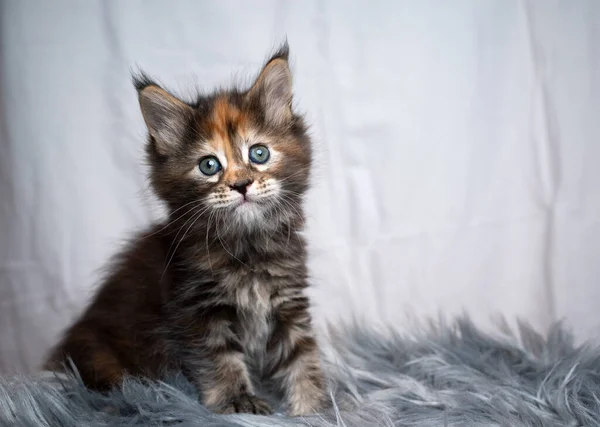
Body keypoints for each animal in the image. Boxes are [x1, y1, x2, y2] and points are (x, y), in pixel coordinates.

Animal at [43, 45, 328, 416]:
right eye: (209, 165)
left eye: (259, 153)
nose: (241, 185)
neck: (245, 245)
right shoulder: (196, 309)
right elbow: (220, 360)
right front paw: (238, 400)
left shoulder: (287, 299)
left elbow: (302, 356)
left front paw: (315, 407)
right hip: (98, 355)